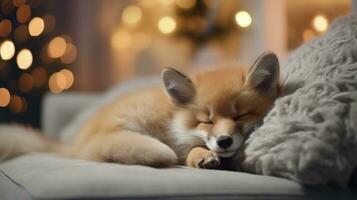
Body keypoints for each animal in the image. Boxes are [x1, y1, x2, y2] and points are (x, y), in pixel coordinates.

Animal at [0, 51, 278, 169]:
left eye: (240, 115)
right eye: (206, 121)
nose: (223, 141)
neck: (173, 118)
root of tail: (74, 143)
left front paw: (201, 156)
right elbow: (186, 150)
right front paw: (201, 155)